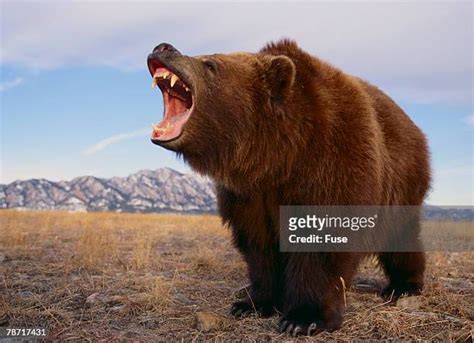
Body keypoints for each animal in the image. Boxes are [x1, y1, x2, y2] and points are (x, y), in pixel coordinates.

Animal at [146, 39, 432, 336]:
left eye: (210, 64)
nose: (164, 47)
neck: (279, 157)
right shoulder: (249, 195)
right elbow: (259, 246)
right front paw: (253, 303)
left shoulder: (332, 162)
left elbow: (321, 242)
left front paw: (303, 318)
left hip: (400, 181)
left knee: (400, 235)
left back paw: (404, 286)